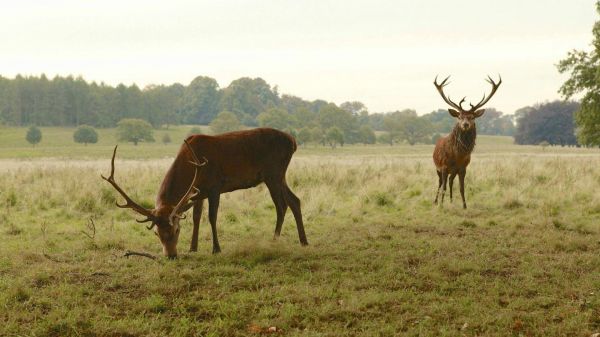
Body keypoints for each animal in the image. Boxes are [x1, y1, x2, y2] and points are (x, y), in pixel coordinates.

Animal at [101, 127, 308, 258]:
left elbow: (212, 217)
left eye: (176, 230)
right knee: (294, 200)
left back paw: (276, 240)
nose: (171, 255)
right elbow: (196, 217)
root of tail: (293, 141)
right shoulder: (197, 192)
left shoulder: (215, 186)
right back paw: (303, 241)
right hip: (277, 175)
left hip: (273, 172)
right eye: (157, 233)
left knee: (282, 204)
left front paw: (216, 248)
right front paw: (193, 247)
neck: (190, 166)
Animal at [432, 75, 502, 209]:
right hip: (438, 168)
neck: (457, 156)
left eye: (472, 117)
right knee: (440, 183)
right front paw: (441, 205)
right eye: (459, 117)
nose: (465, 124)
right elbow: (443, 187)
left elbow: (461, 188)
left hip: (453, 171)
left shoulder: (463, 168)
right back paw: (436, 201)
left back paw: (451, 201)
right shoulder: (444, 166)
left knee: (450, 182)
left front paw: (464, 206)